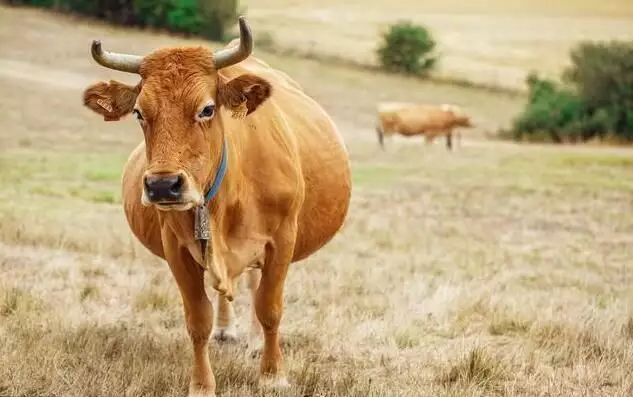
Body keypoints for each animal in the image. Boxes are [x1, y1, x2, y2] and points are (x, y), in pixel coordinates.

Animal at [80, 17, 350, 396]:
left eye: (207, 109)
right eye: (138, 112)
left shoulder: (282, 240)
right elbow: (198, 319)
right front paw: (202, 384)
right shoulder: (177, 249)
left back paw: (255, 343)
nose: (162, 185)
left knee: (255, 286)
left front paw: (273, 374)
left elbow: (269, 308)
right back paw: (227, 330)